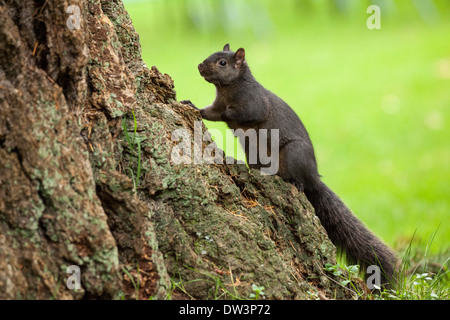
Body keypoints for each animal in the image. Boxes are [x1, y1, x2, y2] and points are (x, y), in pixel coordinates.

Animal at [185, 43, 400, 286]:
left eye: (222, 63)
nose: (200, 66)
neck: (227, 88)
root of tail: (315, 178)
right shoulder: (217, 103)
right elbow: (209, 112)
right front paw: (190, 105)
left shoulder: (254, 103)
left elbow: (242, 113)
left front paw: (224, 113)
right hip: (253, 152)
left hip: (294, 155)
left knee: (301, 181)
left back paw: (296, 182)